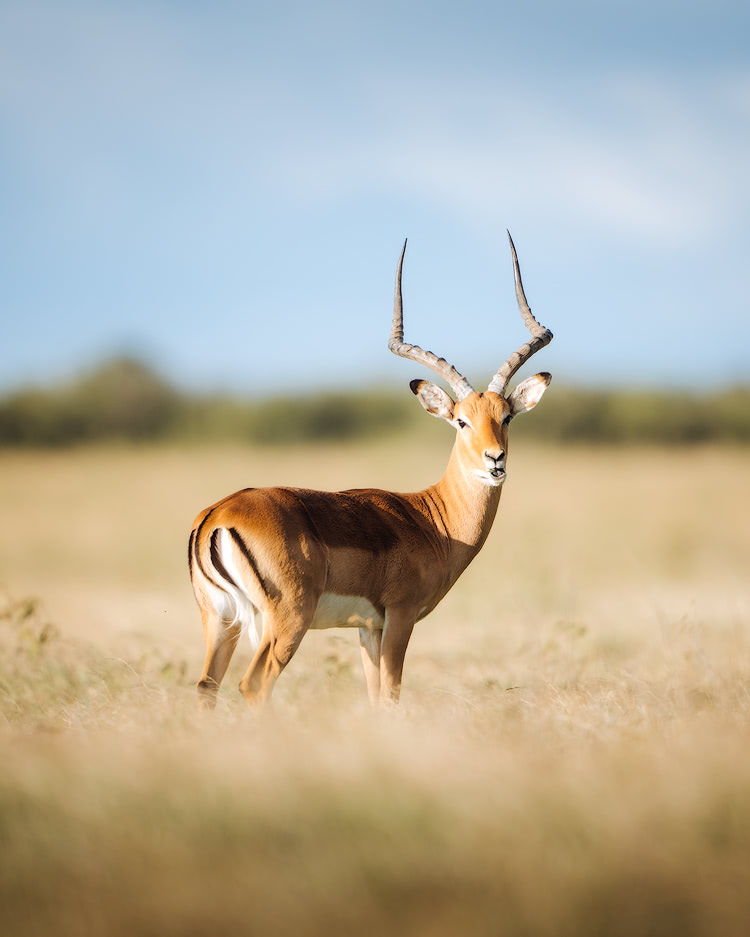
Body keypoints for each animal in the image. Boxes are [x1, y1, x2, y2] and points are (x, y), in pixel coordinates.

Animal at [188, 230, 552, 704]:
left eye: (506, 416)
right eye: (461, 420)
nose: (495, 460)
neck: (433, 520)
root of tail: (217, 517)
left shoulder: (368, 629)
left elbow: (375, 698)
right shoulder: (399, 616)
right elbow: (392, 696)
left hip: (221, 621)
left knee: (205, 687)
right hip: (287, 621)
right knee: (254, 685)